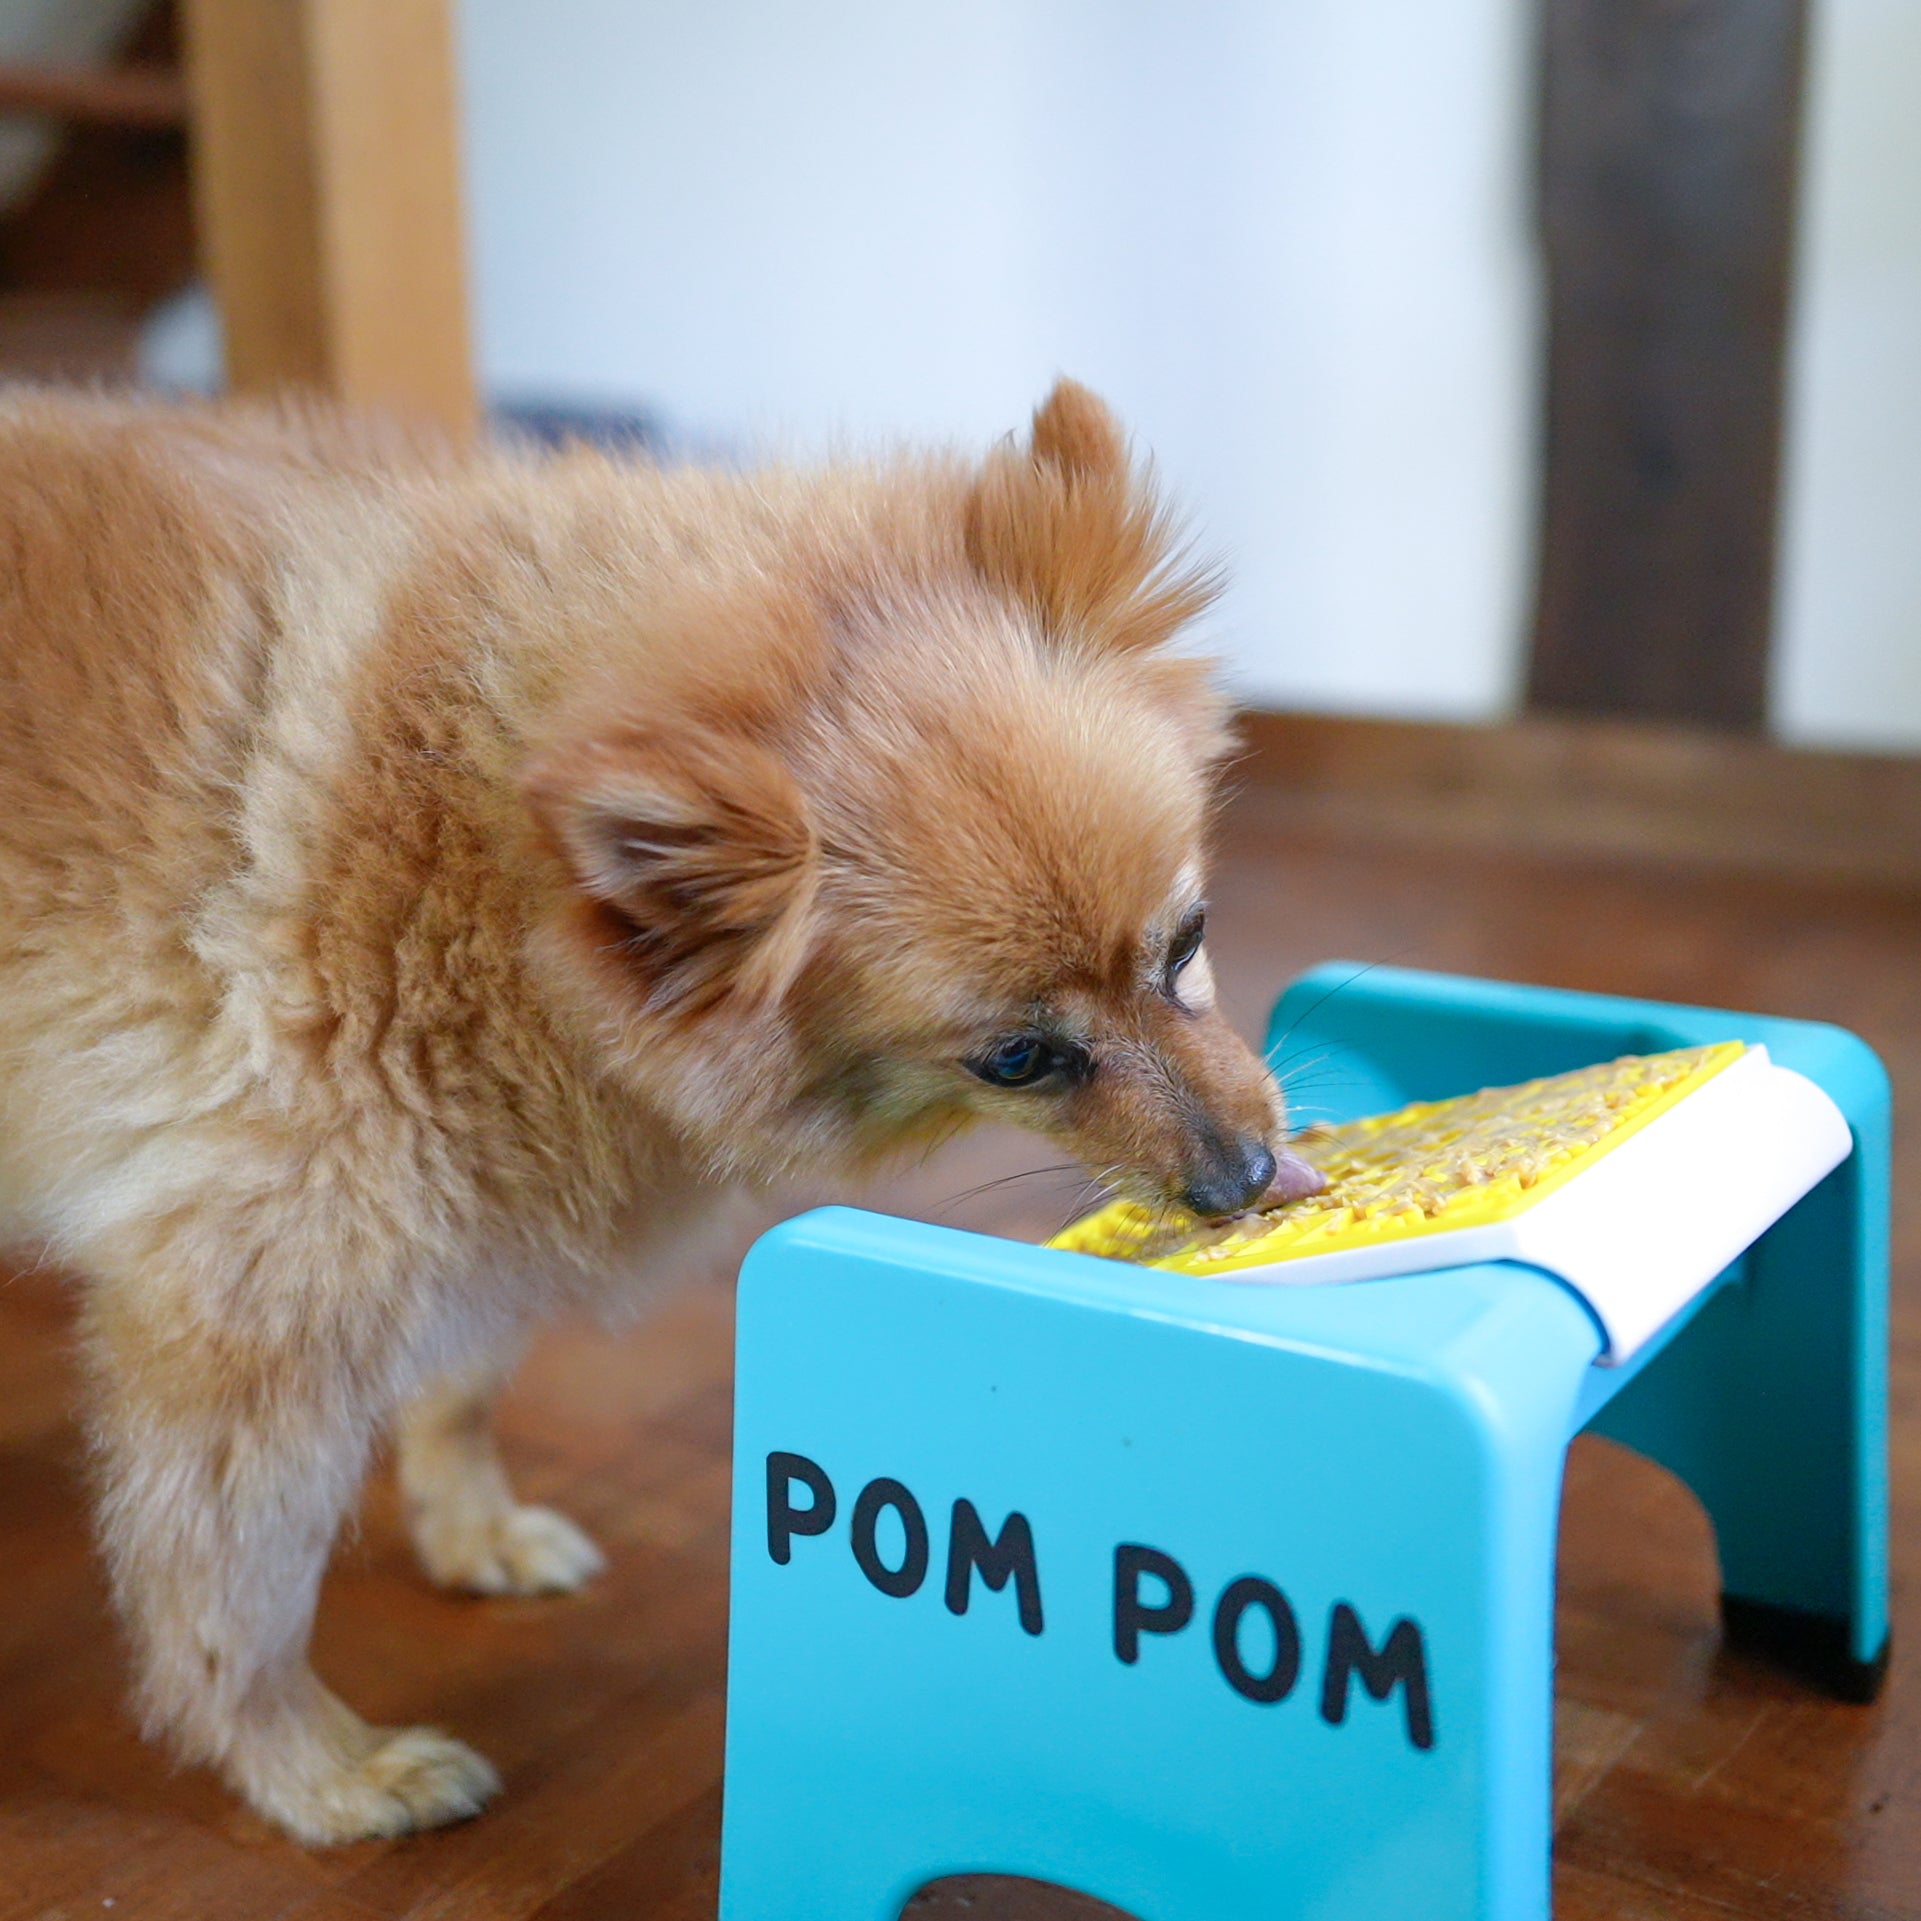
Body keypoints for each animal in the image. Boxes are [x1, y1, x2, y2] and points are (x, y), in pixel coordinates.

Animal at [0, 378, 1321, 1844]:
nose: (1242, 1176)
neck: (482, 862)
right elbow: (236, 1595)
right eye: (1020, 1057)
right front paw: (313, 1770)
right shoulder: (257, 1301)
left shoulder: (474, 1195)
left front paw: (470, 1527)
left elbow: (461, 1384)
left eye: (1187, 940)